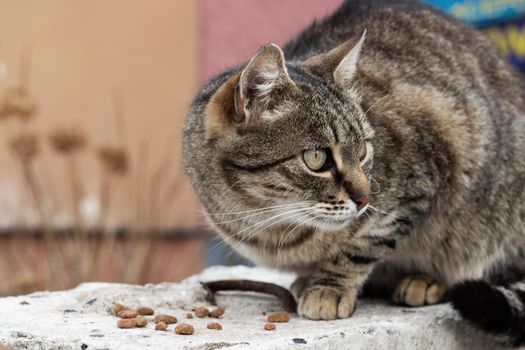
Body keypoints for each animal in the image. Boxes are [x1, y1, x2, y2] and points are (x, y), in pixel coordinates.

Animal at [182, 0, 524, 344]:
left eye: (364, 151)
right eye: (316, 158)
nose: (366, 198)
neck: (269, 223)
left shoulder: (422, 176)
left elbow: (362, 246)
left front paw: (329, 287)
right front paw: (310, 279)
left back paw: (426, 280)